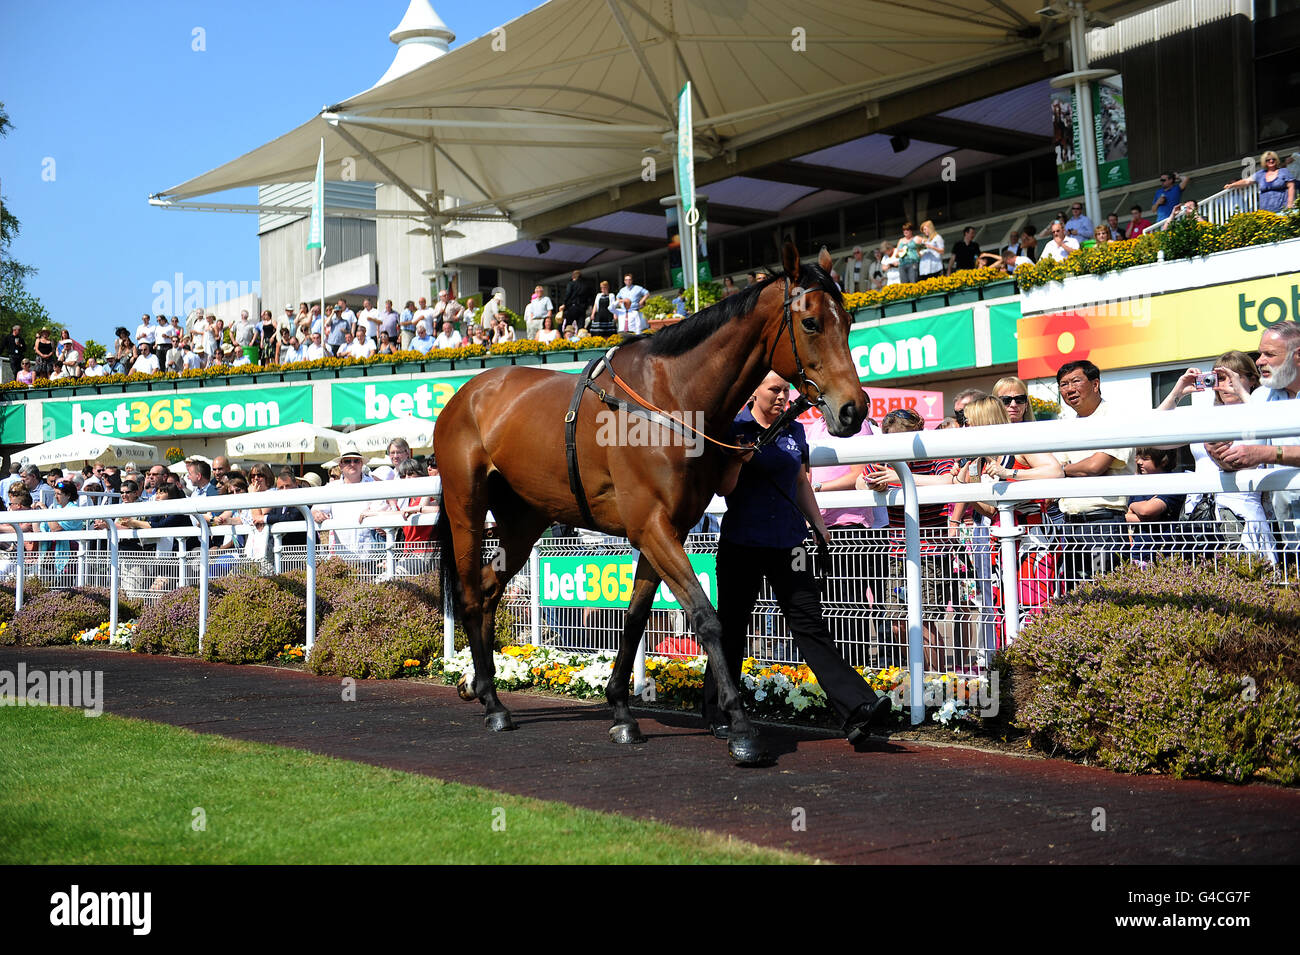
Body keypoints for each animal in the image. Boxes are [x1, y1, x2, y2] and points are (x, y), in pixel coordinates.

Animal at [431, 242, 868, 764]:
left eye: (849, 320)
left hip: (524, 518)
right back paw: (494, 705)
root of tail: (467, 393)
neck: (673, 398)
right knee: (470, 592)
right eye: (812, 323)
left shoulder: (664, 529)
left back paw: (479, 685)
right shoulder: (652, 527)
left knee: (490, 588)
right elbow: (707, 618)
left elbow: (637, 618)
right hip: (467, 507)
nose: (855, 409)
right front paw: (741, 728)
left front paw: (622, 711)